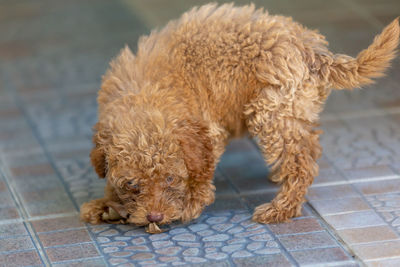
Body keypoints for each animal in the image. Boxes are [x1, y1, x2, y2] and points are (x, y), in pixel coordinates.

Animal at [79, 3, 398, 231]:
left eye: (170, 178)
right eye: (132, 185)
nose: (154, 216)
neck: (145, 94)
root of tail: (310, 47)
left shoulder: (208, 132)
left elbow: (201, 171)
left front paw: (190, 204)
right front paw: (107, 203)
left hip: (271, 111)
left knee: (302, 162)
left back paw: (281, 208)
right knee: (307, 148)